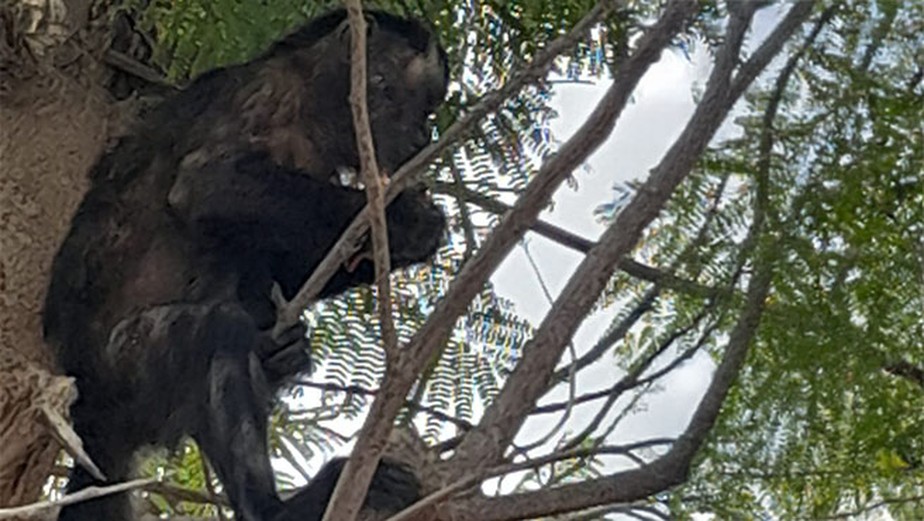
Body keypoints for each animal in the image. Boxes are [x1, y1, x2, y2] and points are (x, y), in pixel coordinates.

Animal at [43, 9, 448, 521]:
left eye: (429, 112)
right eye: (415, 104)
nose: (423, 135)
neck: (314, 106)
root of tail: (92, 418)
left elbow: (283, 261)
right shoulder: (268, 95)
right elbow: (206, 185)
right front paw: (405, 220)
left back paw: (280, 354)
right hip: (118, 370)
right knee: (216, 331)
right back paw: (277, 507)